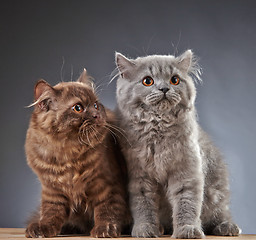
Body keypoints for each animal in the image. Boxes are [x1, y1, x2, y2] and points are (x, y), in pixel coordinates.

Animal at [25, 70, 130, 238]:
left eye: (95, 105)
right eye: (78, 108)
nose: (97, 115)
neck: (68, 152)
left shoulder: (107, 183)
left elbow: (107, 208)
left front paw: (105, 229)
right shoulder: (52, 190)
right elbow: (51, 212)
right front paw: (43, 227)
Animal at [115, 50, 241, 238]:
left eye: (174, 80)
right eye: (147, 81)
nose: (164, 88)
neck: (158, 128)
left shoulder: (186, 172)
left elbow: (186, 204)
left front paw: (187, 230)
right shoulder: (138, 176)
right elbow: (143, 205)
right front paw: (145, 229)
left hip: (216, 193)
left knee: (219, 215)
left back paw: (227, 227)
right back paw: (161, 228)